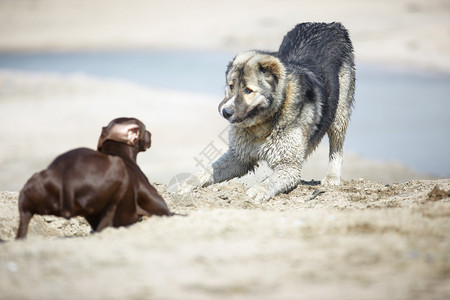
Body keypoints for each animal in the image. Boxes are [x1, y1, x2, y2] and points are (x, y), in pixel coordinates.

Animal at [181, 21, 354, 202]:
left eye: (248, 90)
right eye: (231, 86)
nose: (225, 112)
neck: (266, 121)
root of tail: (329, 24)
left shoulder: (288, 166)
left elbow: (272, 181)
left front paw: (259, 189)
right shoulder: (238, 157)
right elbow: (208, 170)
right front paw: (188, 184)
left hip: (339, 113)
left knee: (337, 146)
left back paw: (332, 176)